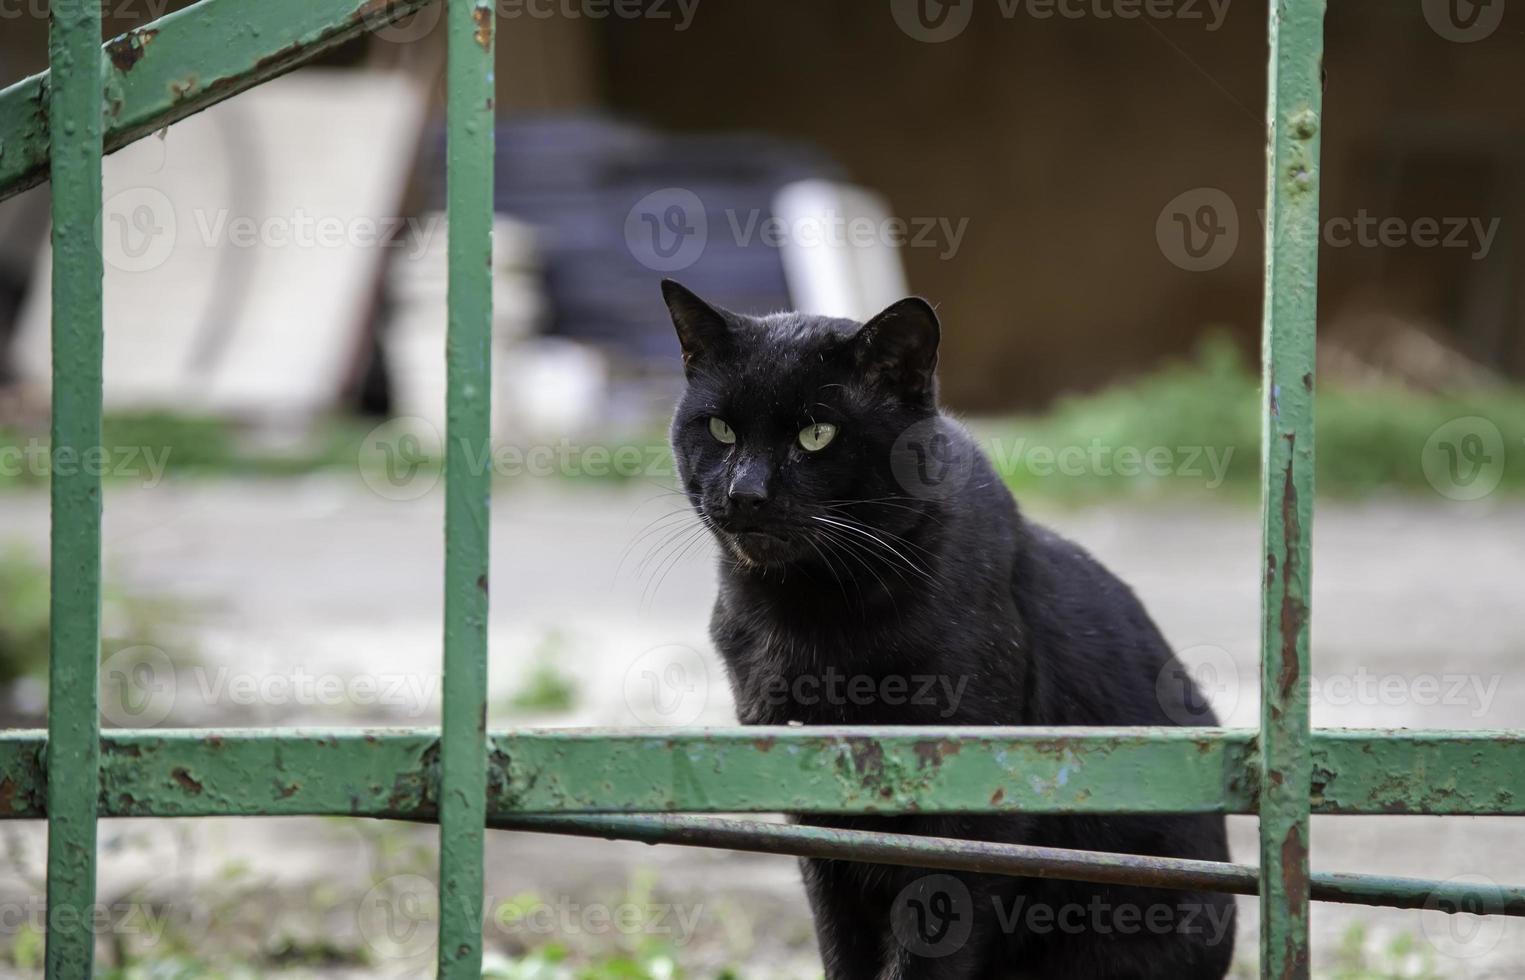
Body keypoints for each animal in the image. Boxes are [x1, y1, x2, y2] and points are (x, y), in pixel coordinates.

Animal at [661, 280, 1232, 975]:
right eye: (720, 428)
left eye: (817, 434)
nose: (745, 494)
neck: (813, 612)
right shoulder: (813, 813)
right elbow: (841, 946)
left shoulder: (970, 815)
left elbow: (927, 949)